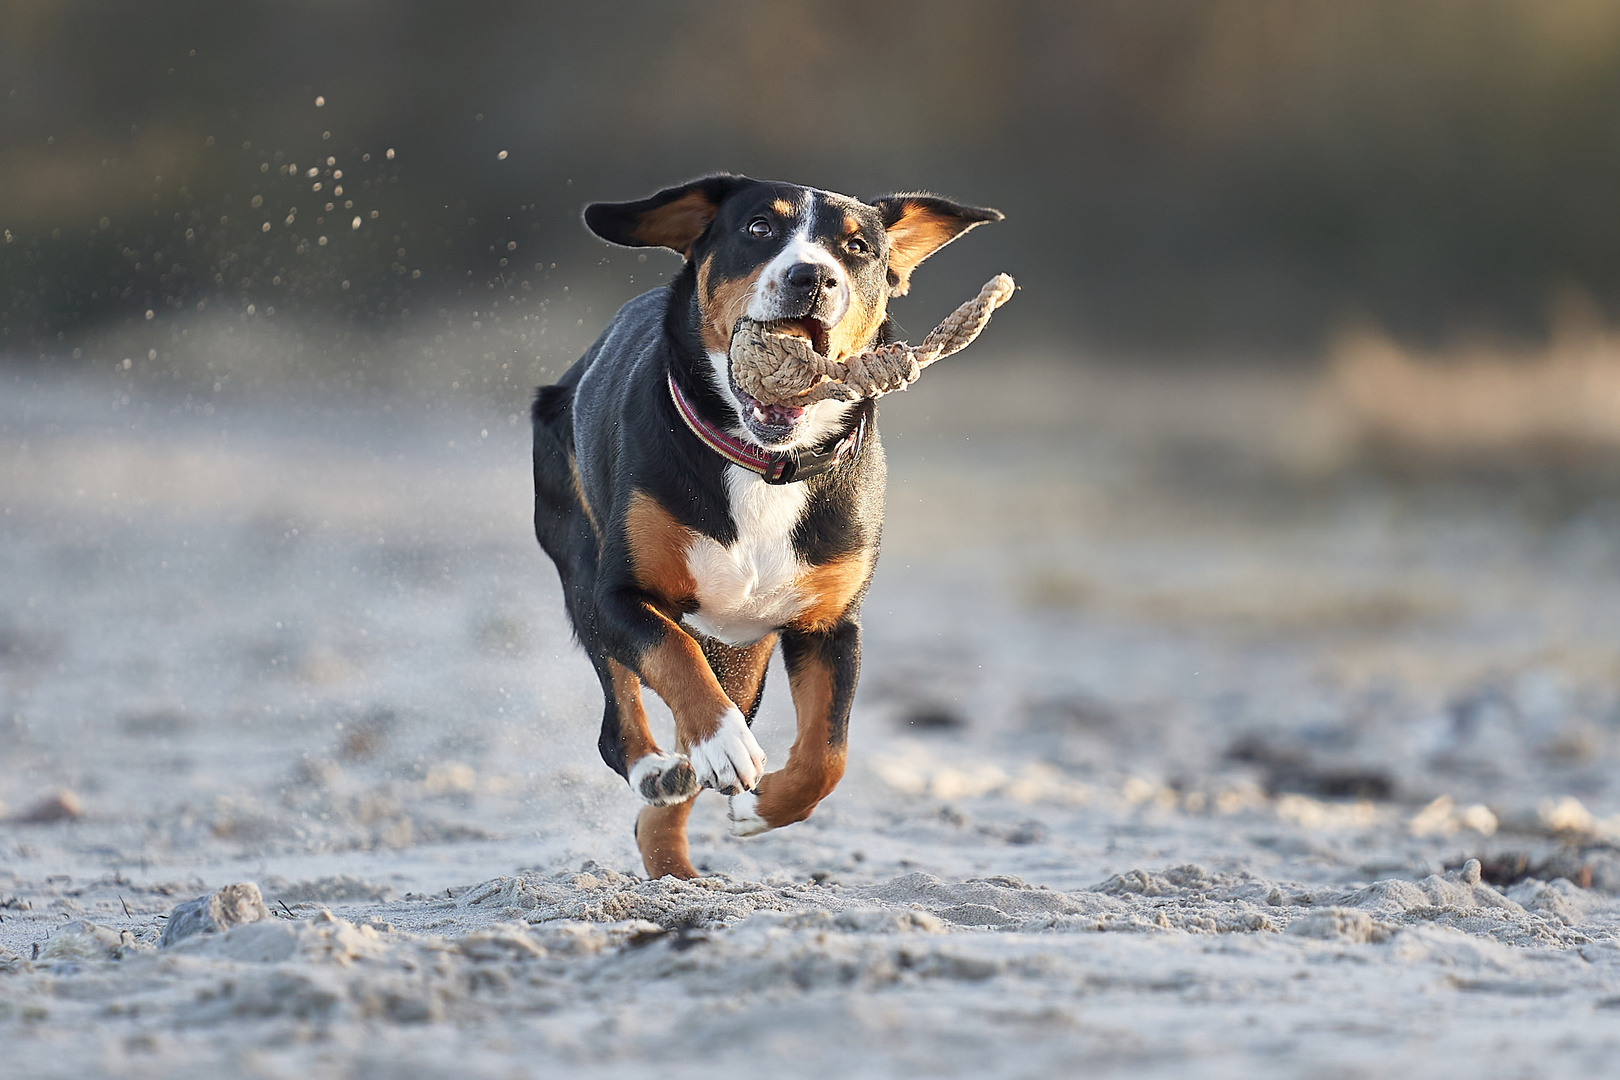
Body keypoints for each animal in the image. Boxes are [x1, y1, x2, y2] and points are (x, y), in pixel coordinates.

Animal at [531, 170, 997, 880]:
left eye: (857, 248)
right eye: (759, 228)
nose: (813, 275)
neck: (765, 464)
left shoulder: (829, 624)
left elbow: (828, 753)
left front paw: (761, 806)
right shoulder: (619, 594)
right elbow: (674, 655)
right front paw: (724, 744)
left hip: (746, 653)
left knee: (679, 777)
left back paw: (676, 870)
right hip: (579, 562)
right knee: (623, 719)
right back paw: (659, 771)